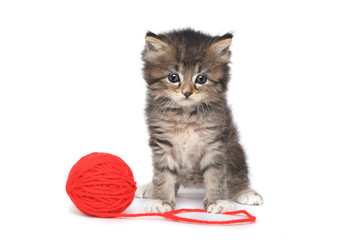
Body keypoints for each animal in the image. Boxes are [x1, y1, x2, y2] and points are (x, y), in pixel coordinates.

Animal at [135, 29, 262, 213]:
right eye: (173, 77)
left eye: (201, 79)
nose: (187, 92)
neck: (185, 114)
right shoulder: (161, 142)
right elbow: (162, 173)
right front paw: (160, 199)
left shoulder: (215, 143)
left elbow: (217, 174)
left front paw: (218, 201)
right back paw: (150, 187)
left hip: (235, 149)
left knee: (237, 176)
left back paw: (245, 192)